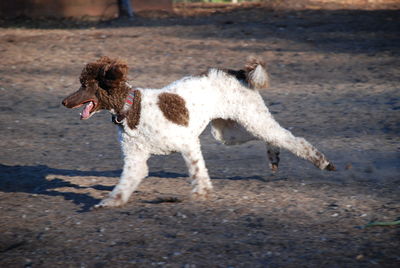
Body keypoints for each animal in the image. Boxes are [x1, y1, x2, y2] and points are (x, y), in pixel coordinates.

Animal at [62, 56, 336, 207]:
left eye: (85, 85)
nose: (63, 102)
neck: (132, 109)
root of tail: (238, 73)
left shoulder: (188, 143)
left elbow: (197, 172)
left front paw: (202, 193)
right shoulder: (135, 160)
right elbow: (122, 187)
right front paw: (108, 203)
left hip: (250, 118)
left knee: (290, 138)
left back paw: (322, 162)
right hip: (228, 132)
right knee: (268, 137)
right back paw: (274, 155)